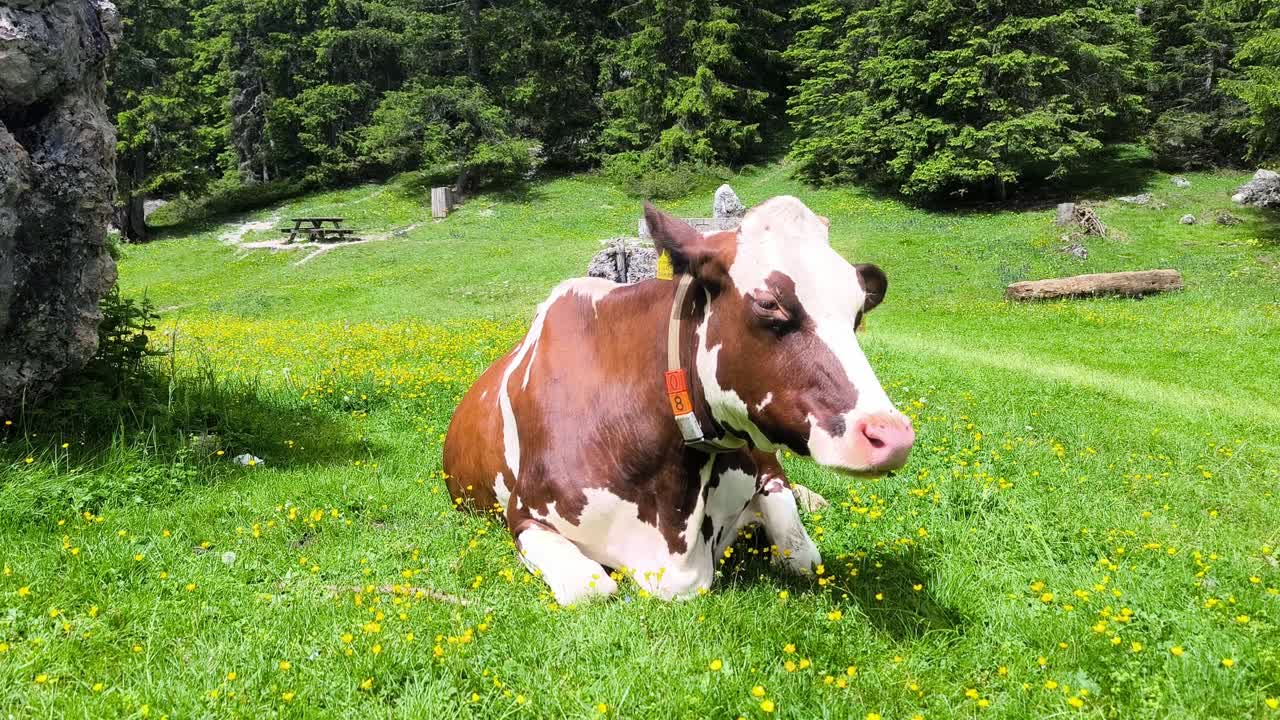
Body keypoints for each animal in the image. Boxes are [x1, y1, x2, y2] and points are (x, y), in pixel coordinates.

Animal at [443, 196, 915, 604]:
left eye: (858, 312)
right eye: (769, 303)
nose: (892, 435)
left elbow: (800, 553)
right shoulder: (524, 515)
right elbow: (591, 589)